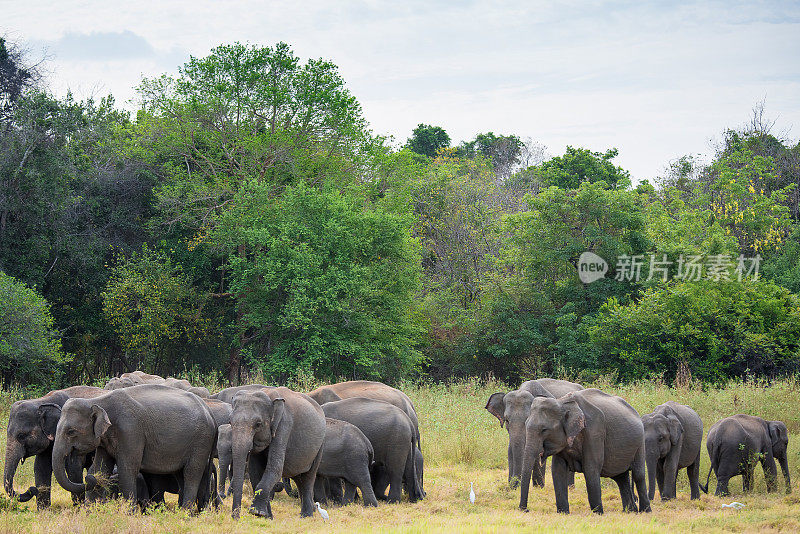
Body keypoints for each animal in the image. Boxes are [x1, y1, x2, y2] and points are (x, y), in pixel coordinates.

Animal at [51, 384, 217, 512]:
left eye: (71, 432)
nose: (87, 477)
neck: (97, 400)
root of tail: (210, 412)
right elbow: (101, 468)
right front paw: (90, 512)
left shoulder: (130, 431)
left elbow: (128, 468)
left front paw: (128, 514)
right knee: (181, 474)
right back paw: (193, 513)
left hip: (201, 440)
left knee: (191, 472)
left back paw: (185, 513)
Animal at [227, 388, 324, 520]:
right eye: (230, 421)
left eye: (258, 424)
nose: (236, 518)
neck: (268, 394)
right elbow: (255, 472)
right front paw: (266, 516)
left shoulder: (283, 426)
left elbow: (275, 469)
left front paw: (256, 512)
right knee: (298, 477)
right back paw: (308, 512)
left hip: (320, 446)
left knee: (308, 477)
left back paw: (306, 516)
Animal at [520, 388, 648, 516]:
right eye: (525, 424)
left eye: (544, 430)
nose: (525, 510)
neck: (562, 402)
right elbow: (557, 470)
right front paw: (563, 513)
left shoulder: (594, 431)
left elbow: (591, 468)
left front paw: (598, 514)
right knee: (621, 478)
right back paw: (630, 511)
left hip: (640, 443)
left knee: (638, 475)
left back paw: (645, 511)